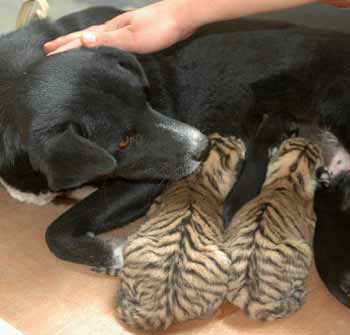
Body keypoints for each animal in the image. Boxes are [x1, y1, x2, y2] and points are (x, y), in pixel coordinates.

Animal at [2, 6, 350, 282]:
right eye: (124, 140)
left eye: (145, 99)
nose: (203, 146)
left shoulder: (145, 182)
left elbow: (54, 232)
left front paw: (116, 252)